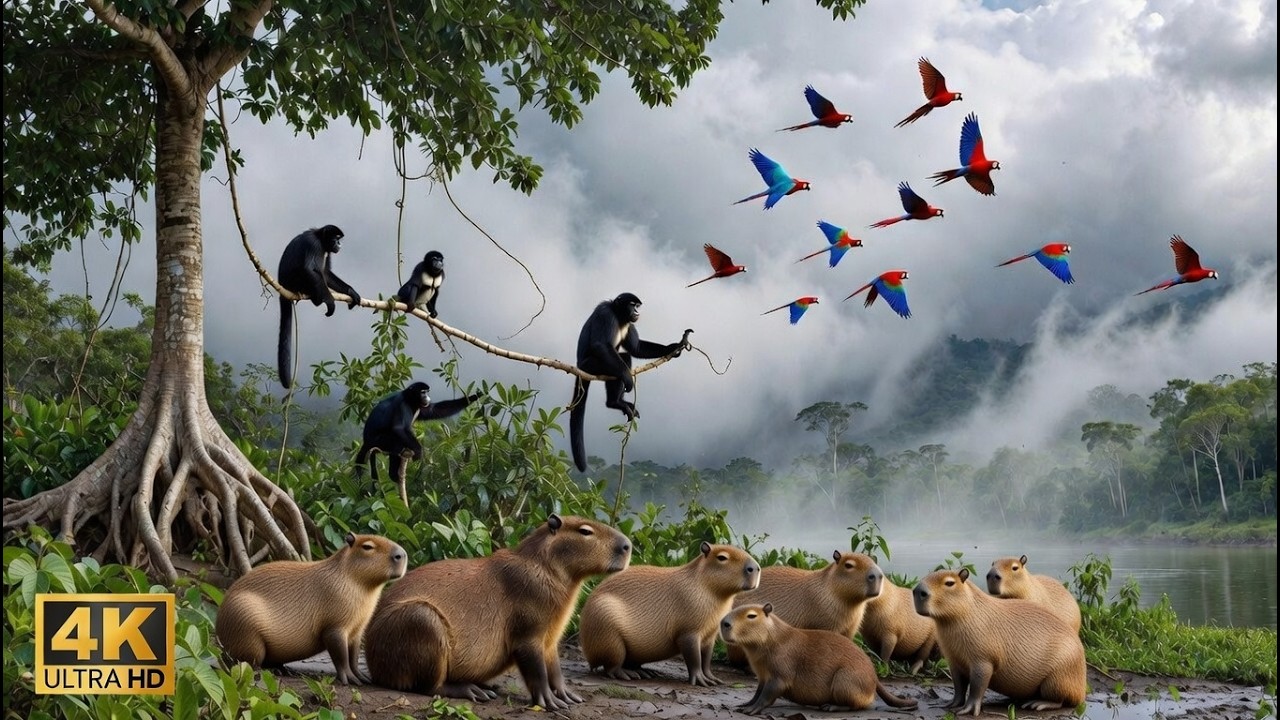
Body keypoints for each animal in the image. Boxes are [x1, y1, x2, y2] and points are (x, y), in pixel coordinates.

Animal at [277, 225, 361, 389]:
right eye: (336, 238)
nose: (339, 244)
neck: (320, 239)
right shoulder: (313, 243)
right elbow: (309, 269)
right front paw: (330, 302)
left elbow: (326, 274)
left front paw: (352, 292)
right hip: (296, 281)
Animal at [354, 381, 485, 485]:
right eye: (423, 392)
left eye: (427, 392)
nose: (426, 397)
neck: (410, 399)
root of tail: (366, 441)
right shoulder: (403, 404)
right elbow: (398, 428)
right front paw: (418, 454)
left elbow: (435, 410)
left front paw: (475, 396)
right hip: (379, 440)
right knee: (396, 442)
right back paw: (394, 475)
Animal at [569, 293, 690, 472]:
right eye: (632, 305)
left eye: (637, 306)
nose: (637, 312)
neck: (619, 317)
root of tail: (579, 367)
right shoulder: (605, 313)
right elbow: (600, 345)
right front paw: (627, 378)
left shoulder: (628, 323)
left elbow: (636, 348)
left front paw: (675, 346)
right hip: (590, 365)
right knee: (620, 362)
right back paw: (615, 401)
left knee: (625, 358)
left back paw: (617, 402)